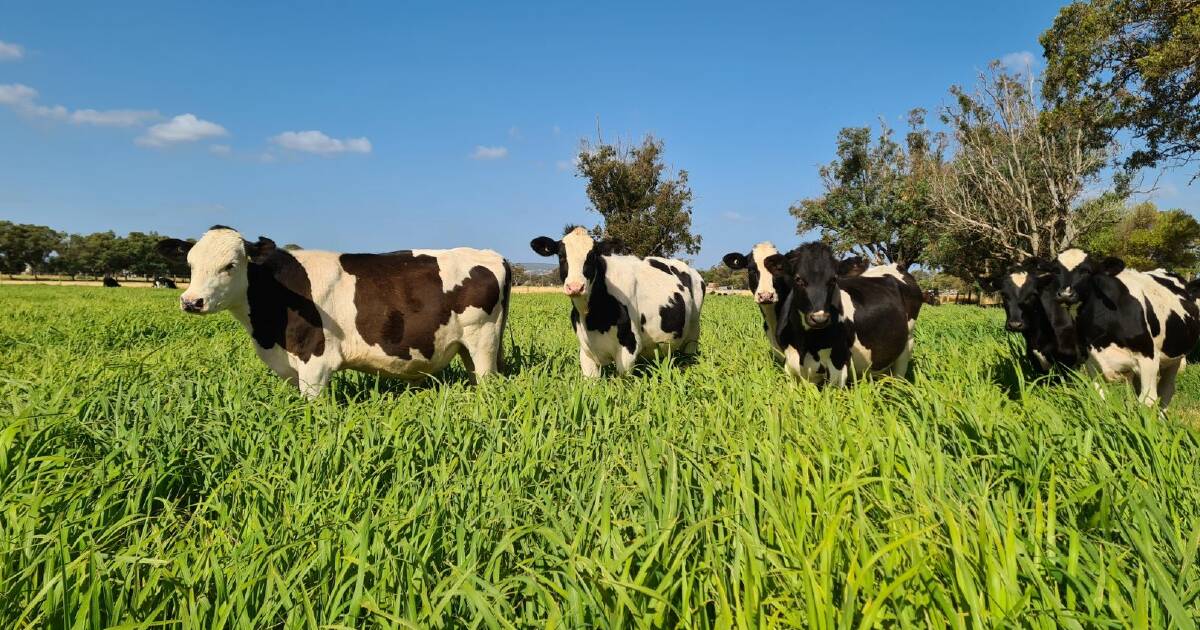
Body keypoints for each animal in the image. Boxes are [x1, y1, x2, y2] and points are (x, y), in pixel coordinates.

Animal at [156, 224, 511, 398]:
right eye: (190, 264)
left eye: (230, 265)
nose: (191, 301)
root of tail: (490, 254)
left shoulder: (315, 363)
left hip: (483, 341)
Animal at [528, 225, 700, 374]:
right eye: (561, 256)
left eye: (592, 256)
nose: (575, 287)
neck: (592, 319)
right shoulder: (586, 352)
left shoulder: (629, 348)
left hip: (693, 333)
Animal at [763, 243, 921, 386]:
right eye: (798, 279)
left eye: (833, 279)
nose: (819, 319)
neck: (805, 345)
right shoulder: (790, 366)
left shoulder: (838, 363)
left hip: (907, 344)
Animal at [1051, 248, 1200, 405]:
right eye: (1055, 270)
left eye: (1087, 271)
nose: (1065, 294)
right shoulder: (1092, 363)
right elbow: (1101, 398)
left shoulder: (1149, 359)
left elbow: (1147, 401)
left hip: (1174, 358)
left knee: (1166, 390)